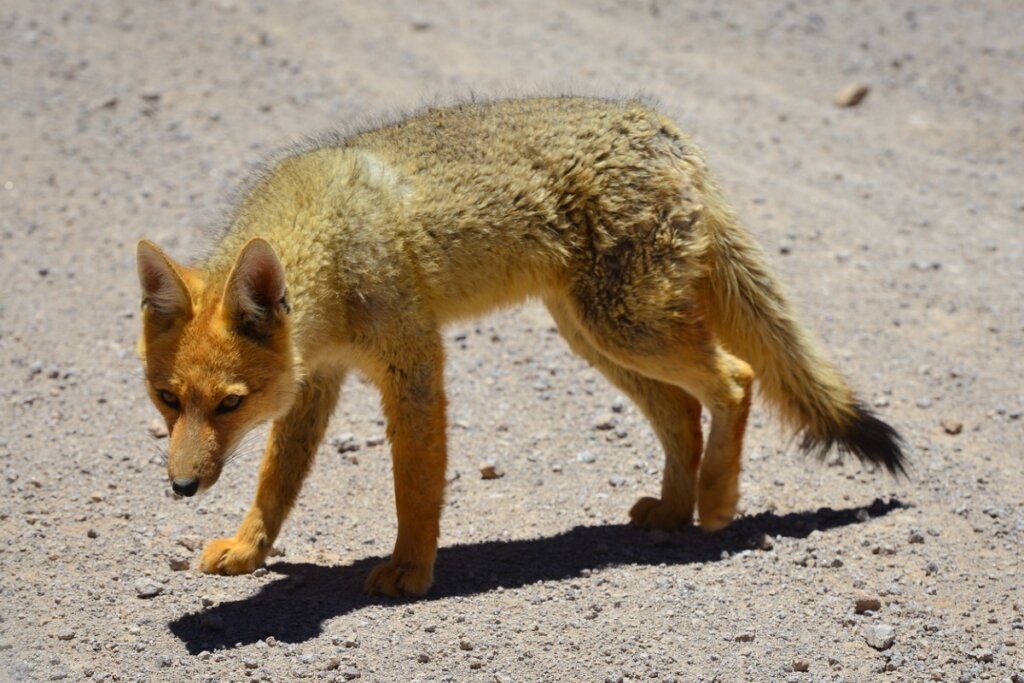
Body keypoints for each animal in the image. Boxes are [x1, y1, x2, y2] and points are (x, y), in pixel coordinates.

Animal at [138, 96, 905, 598]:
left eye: (231, 404)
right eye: (168, 399)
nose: (180, 488)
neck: (331, 235)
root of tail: (663, 126)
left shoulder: (415, 366)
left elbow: (415, 484)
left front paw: (411, 568)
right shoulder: (317, 382)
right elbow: (276, 481)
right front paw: (249, 547)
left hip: (628, 328)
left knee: (737, 377)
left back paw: (716, 504)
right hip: (598, 336)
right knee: (685, 411)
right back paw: (674, 509)